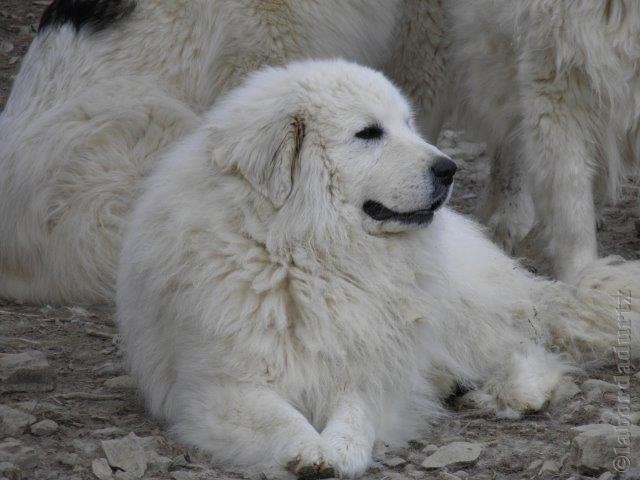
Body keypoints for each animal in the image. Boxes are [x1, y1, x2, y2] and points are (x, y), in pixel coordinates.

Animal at [116, 61, 640, 480]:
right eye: (368, 133)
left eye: (408, 124)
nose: (449, 169)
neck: (305, 253)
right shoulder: (223, 388)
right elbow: (278, 416)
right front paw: (308, 449)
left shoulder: (366, 365)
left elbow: (357, 412)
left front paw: (342, 450)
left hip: (462, 315)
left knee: (526, 347)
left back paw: (511, 393)